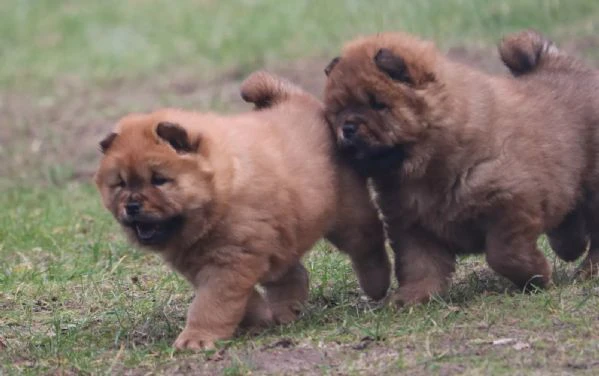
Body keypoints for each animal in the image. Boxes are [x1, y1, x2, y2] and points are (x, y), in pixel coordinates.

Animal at [95, 72, 392, 352]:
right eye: (120, 184)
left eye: (158, 180)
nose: (132, 205)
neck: (221, 195)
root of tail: (295, 99)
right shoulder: (209, 264)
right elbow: (241, 301)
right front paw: (259, 318)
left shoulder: (230, 261)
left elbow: (211, 304)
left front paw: (196, 339)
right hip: (284, 234)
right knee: (293, 275)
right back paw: (286, 313)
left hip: (347, 215)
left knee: (368, 243)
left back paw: (376, 285)